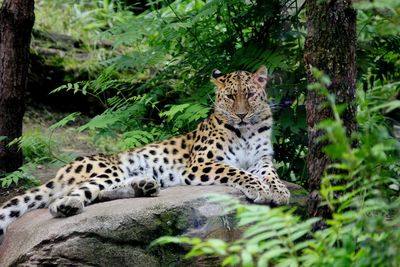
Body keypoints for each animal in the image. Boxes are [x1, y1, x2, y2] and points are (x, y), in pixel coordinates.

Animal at [0, 66, 290, 243]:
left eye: (249, 95)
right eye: (230, 97)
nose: (240, 115)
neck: (247, 130)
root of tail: (64, 170)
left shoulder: (262, 159)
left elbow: (270, 173)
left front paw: (278, 191)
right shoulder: (201, 163)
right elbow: (237, 171)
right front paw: (259, 188)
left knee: (99, 193)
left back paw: (144, 185)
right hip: (107, 170)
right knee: (65, 198)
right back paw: (67, 205)